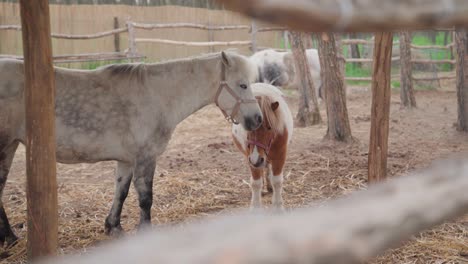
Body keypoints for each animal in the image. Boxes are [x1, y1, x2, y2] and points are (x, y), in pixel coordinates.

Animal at [0, 50, 264, 244]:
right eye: (242, 85)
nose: (258, 119)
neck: (157, 96)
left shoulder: (127, 160)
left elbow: (122, 192)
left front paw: (113, 227)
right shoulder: (146, 157)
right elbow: (146, 197)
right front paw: (144, 230)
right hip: (5, 147)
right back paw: (10, 238)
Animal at [231, 83, 292, 211]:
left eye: (269, 127)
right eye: (247, 126)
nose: (256, 159)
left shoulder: (280, 156)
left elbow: (277, 181)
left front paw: (278, 207)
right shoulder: (251, 158)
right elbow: (256, 182)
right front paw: (255, 207)